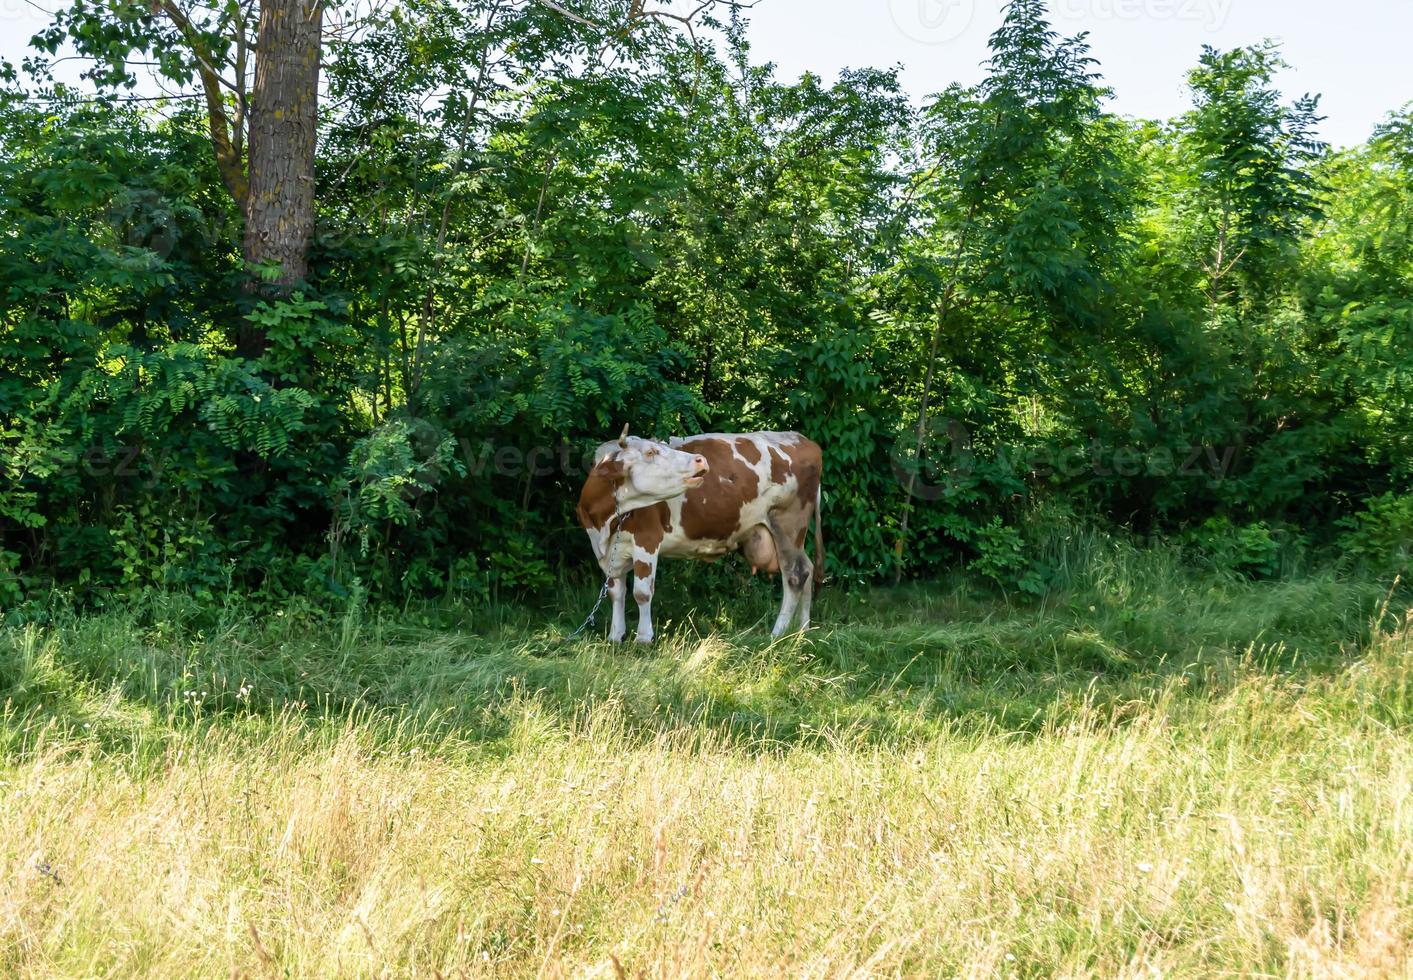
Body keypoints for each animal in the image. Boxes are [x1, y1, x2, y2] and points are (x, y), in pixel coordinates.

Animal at [573, 429, 825, 643]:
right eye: (651, 452)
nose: (700, 460)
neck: (605, 524)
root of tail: (802, 440)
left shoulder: (647, 540)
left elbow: (642, 593)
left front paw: (643, 638)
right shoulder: (606, 551)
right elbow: (616, 592)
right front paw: (615, 636)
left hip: (788, 524)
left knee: (795, 575)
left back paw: (778, 633)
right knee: (808, 569)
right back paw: (802, 631)